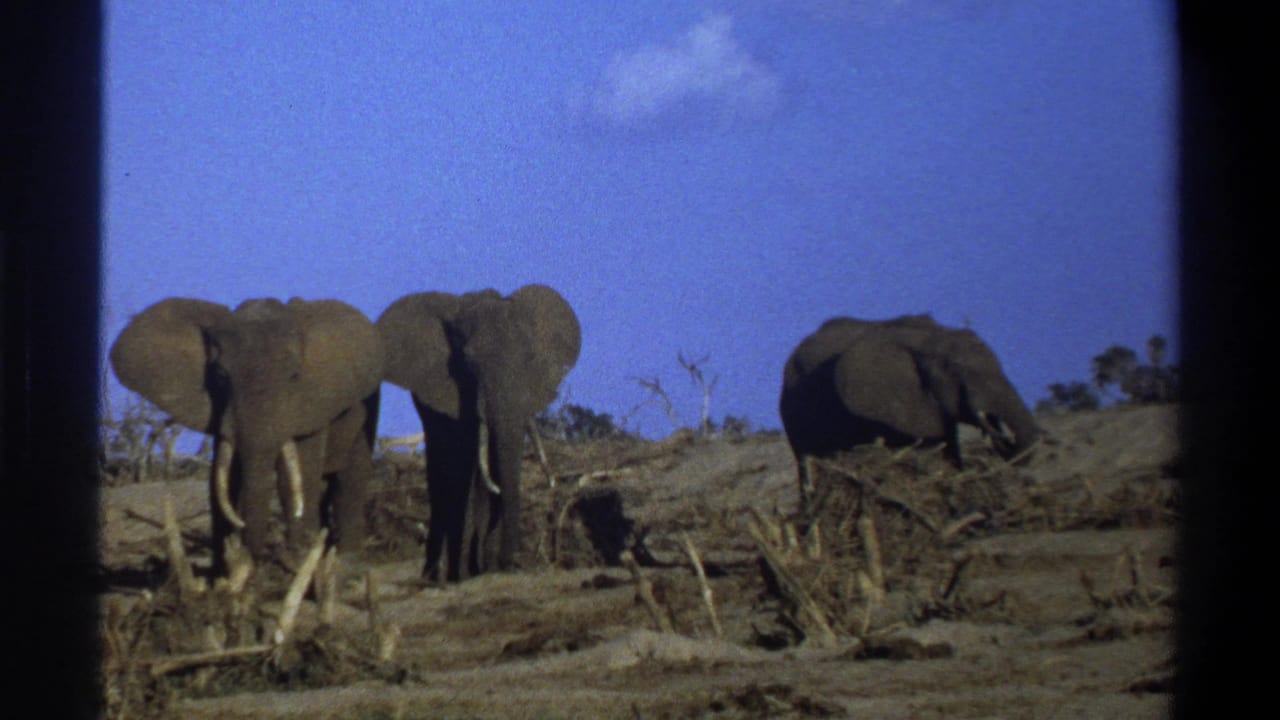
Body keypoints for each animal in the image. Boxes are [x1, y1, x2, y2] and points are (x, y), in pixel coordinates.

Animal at [109, 297, 383, 573]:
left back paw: (347, 559)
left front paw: (297, 561)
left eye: (294, 376)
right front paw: (222, 572)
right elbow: (221, 480)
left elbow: (298, 475)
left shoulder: (312, 407)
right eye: (220, 376)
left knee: (352, 476)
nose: (251, 558)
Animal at [377, 284, 581, 582]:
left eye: (530, 360)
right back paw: (436, 576)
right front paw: (466, 572)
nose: (511, 563)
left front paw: (487, 568)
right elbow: (468, 463)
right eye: (469, 364)